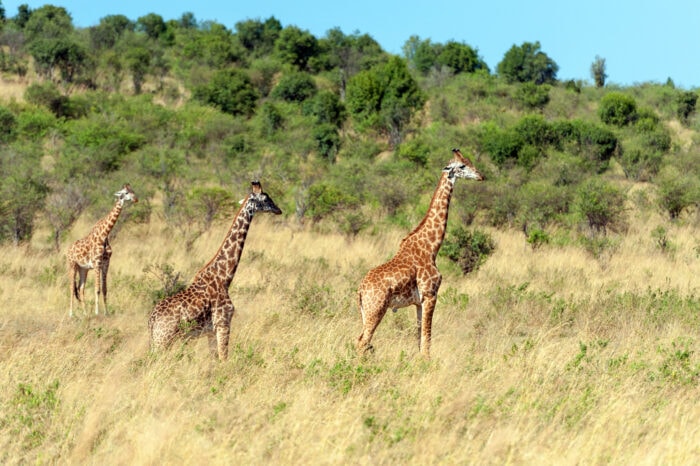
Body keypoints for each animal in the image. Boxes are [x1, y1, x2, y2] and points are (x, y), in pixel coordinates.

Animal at [67, 184, 139, 318]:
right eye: (126, 193)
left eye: (133, 191)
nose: (136, 199)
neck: (104, 234)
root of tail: (68, 250)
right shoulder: (97, 263)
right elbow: (97, 289)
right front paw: (97, 312)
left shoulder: (106, 263)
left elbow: (105, 289)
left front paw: (106, 312)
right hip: (72, 265)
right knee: (71, 287)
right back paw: (71, 314)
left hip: (83, 269)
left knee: (80, 288)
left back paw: (85, 313)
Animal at [149, 181, 284, 360]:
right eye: (266, 198)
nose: (279, 210)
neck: (224, 278)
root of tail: (151, 320)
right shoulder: (223, 324)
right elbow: (224, 359)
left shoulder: (211, 331)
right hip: (163, 339)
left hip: (157, 340)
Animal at [358, 148, 484, 356]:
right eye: (462, 165)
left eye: (469, 161)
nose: (481, 176)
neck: (431, 247)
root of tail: (360, 290)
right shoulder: (430, 294)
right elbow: (427, 341)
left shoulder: (418, 302)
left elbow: (419, 339)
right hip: (376, 309)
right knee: (362, 341)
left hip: (365, 312)